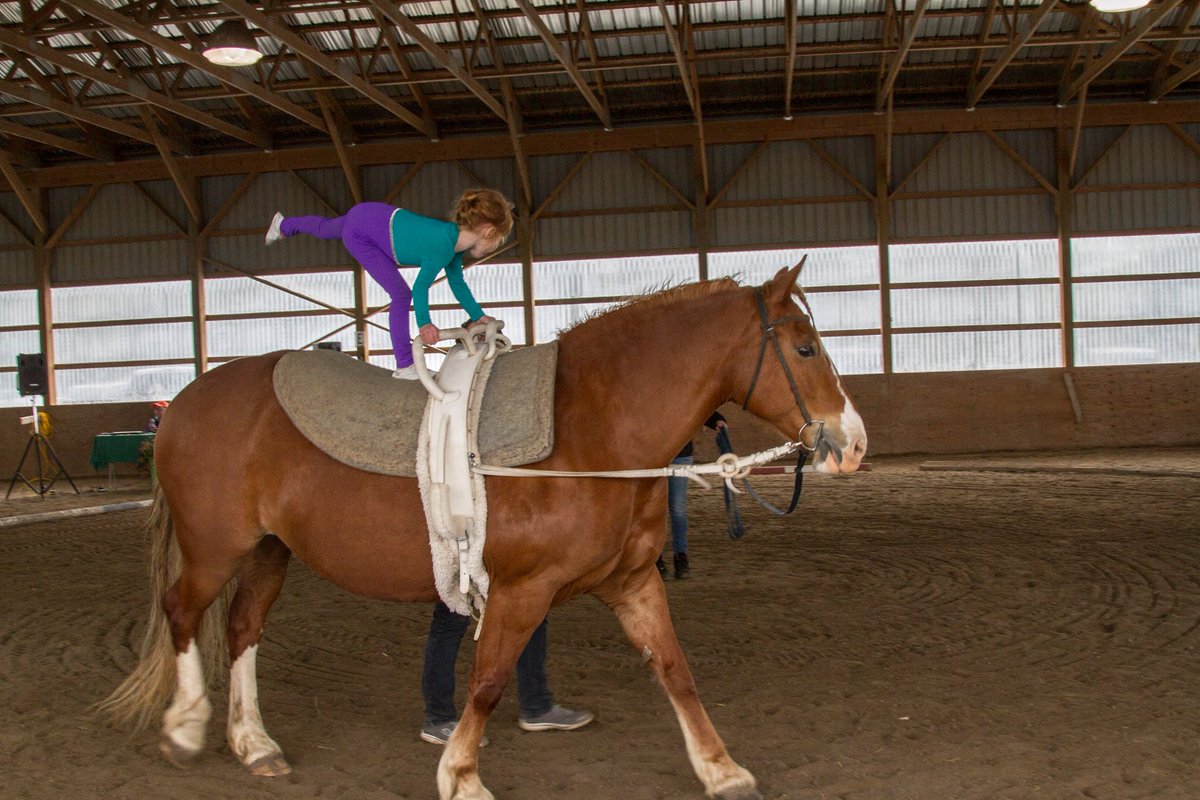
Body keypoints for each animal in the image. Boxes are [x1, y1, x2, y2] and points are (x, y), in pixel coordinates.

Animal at [99, 261, 867, 800]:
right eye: (804, 348)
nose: (853, 443)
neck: (591, 430)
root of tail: (185, 401)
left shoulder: (630, 582)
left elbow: (675, 670)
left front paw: (720, 768)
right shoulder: (522, 590)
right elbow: (490, 679)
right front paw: (460, 774)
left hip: (268, 551)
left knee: (242, 629)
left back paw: (253, 742)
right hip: (214, 548)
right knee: (182, 612)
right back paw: (186, 727)